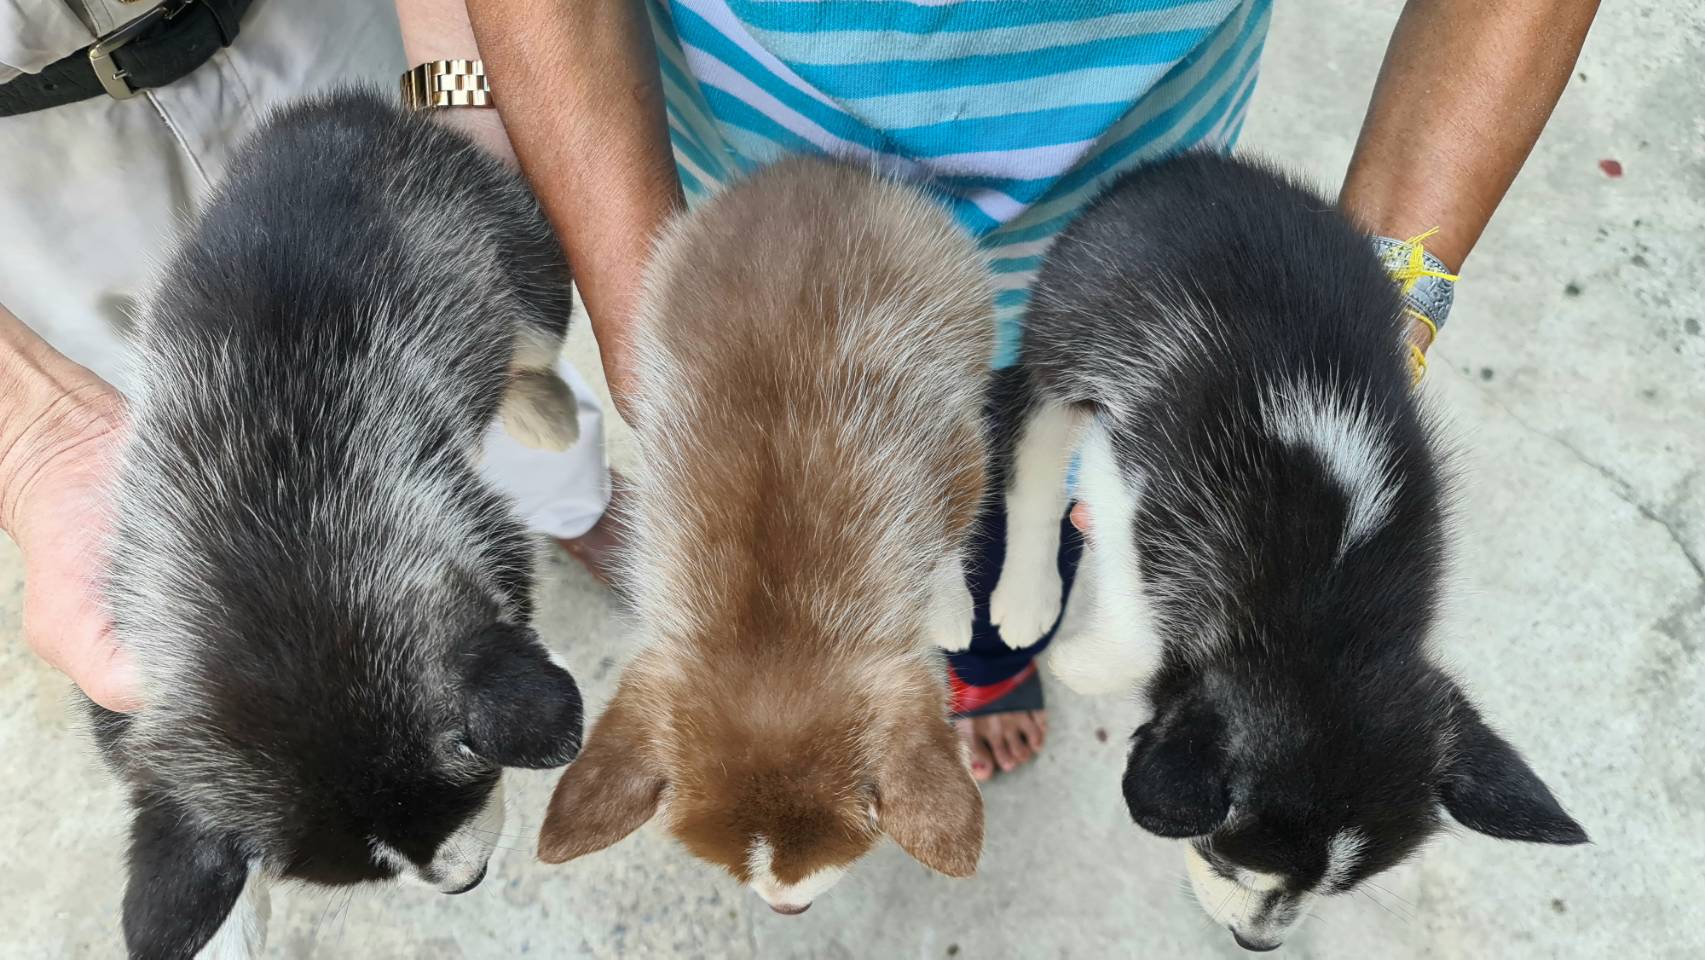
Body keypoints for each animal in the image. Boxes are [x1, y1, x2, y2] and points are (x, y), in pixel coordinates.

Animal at [94, 90, 584, 960]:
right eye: (366, 872)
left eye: (471, 774)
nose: (465, 883)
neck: (259, 548)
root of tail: (346, 111)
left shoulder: (456, 512)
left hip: (516, 243)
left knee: (532, 338)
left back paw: (544, 408)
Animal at [537, 157, 991, 912]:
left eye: (866, 821)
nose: (787, 905)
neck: (774, 619)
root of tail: (812, 168)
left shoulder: (952, 447)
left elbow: (957, 525)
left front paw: (952, 609)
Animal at [987, 152, 1586, 951]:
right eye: (1228, 861)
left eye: (1335, 891)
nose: (1258, 943)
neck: (1330, 613)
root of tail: (1181, 166)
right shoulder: (1129, 475)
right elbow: (1130, 605)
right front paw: (1084, 663)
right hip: (1067, 329)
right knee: (1035, 459)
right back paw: (1024, 598)